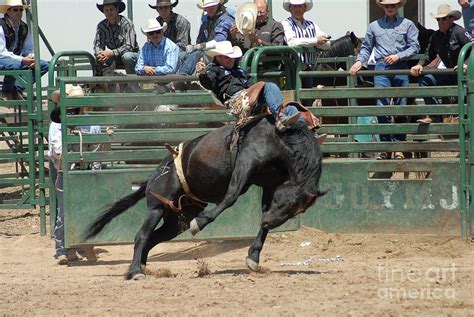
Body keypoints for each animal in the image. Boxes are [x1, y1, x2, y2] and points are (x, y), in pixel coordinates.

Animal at [85, 116, 326, 278]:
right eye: (286, 202)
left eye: (295, 211)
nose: (268, 221)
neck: (281, 141)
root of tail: (155, 173)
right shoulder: (245, 164)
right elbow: (230, 197)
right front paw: (200, 223)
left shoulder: (269, 184)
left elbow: (262, 214)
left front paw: (253, 257)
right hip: (156, 207)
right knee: (141, 236)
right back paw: (136, 271)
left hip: (176, 220)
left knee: (153, 239)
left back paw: (140, 268)